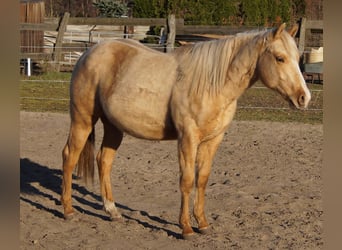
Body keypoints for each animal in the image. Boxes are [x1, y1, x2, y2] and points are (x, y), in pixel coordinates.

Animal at [60, 23, 310, 238]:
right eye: (280, 58)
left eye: (298, 58)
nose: (304, 98)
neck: (212, 84)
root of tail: (88, 53)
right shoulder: (188, 139)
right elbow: (187, 180)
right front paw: (186, 228)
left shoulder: (213, 140)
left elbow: (202, 180)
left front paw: (203, 224)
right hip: (82, 120)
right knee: (69, 157)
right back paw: (68, 210)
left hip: (114, 127)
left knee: (104, 161)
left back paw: (112, 212)